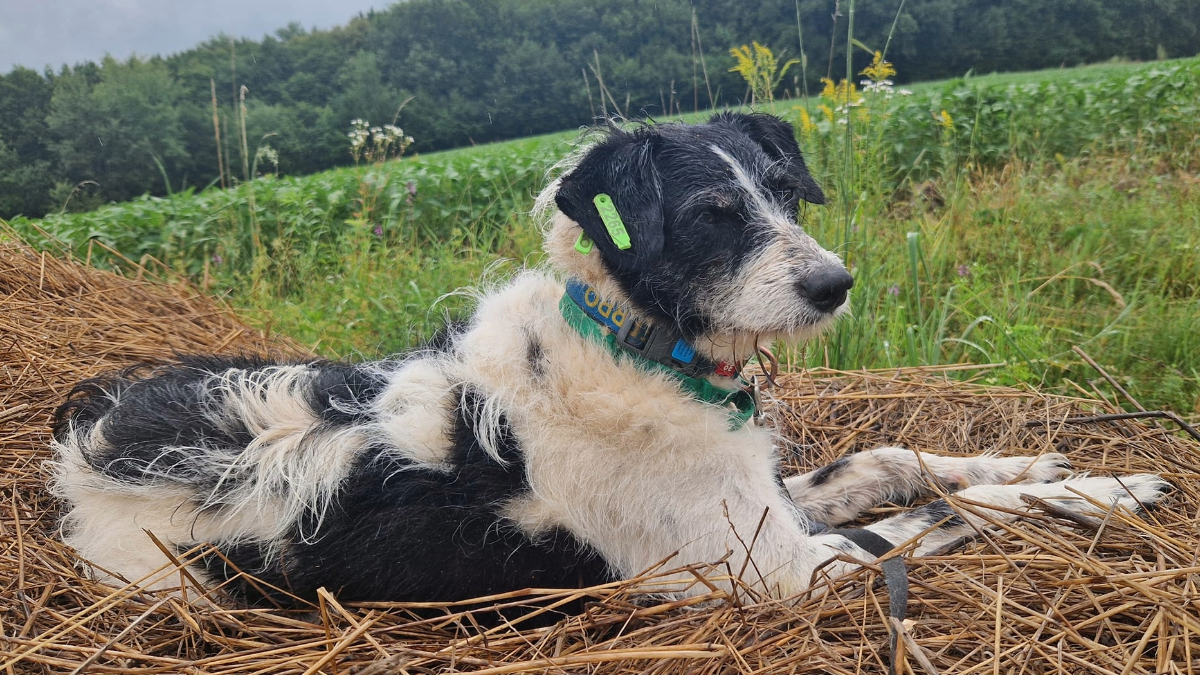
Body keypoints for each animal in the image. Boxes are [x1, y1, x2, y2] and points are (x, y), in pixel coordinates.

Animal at [51, 112, 1166, 607]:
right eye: (712, 214)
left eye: (783, 192)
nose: (834, 284)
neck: (636, 348)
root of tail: (83, 446)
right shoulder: (784, 568)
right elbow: (936, 522)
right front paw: (1104, 492)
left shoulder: (770, 497)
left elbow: (892, 462)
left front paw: (1038, 464)